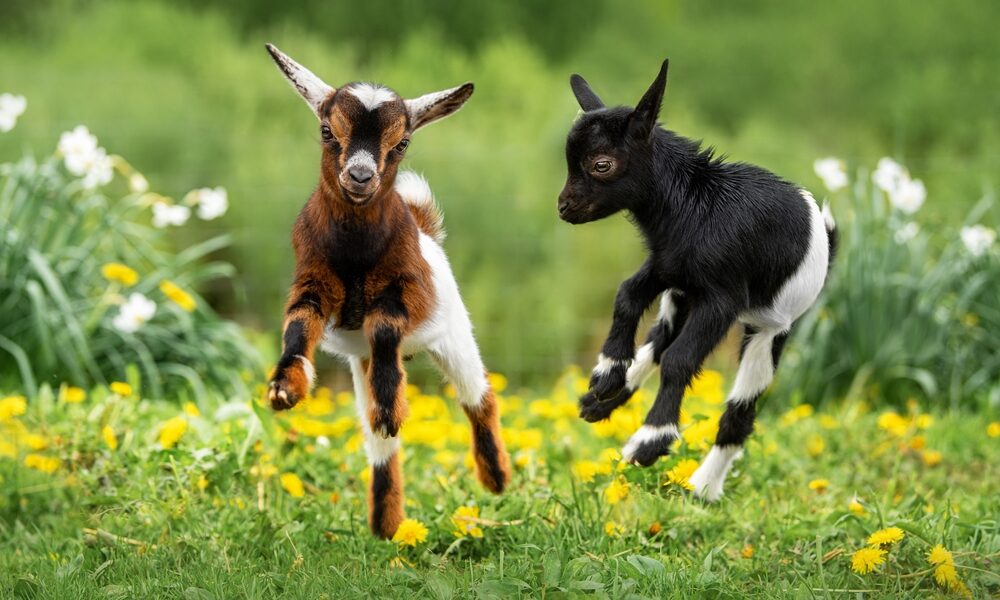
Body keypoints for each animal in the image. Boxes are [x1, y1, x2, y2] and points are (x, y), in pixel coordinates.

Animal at [263, 44, 511, 538]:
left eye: (402, 143)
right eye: (327, 131)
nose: (360, 177)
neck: (357, 250)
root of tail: (425, 228)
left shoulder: (408, 290)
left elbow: (383, 322)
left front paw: (393, 409)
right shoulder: (313, 281)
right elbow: (298, 325)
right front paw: (285, 388)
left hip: (455, 336)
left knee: (479, 397)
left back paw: (495, 478)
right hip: (358, 364)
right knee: (379, 445)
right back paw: (387, 524)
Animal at [558, 60, 837, 501]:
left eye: (601, 164)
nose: (564, 207)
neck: (696, 204)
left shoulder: (722, 299)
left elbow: (680, 360)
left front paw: (650, 442)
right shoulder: (667, 267)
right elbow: (626, 296)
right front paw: (606, 373)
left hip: (768, 329)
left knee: (737, 413)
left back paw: (703, 488)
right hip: (681, 298)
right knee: (657, 342)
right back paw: (601, 401)